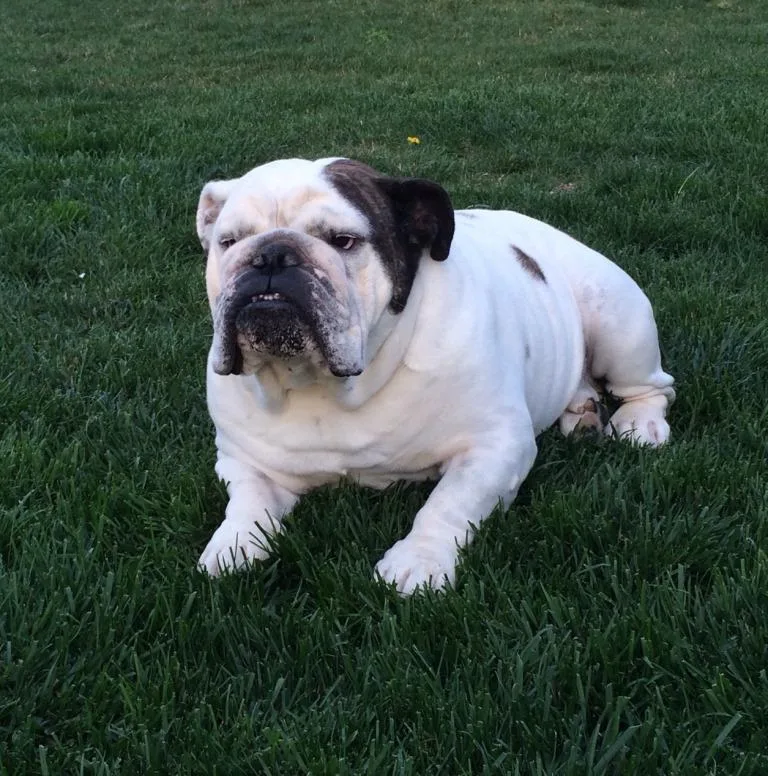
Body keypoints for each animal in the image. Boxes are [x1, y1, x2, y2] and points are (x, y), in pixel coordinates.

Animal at [195, 157, 675, 594]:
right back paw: (583, 410)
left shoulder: (494, 445)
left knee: (652, 387)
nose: (271, 255)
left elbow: (448, 502)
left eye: (343, 241)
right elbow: (248, 502)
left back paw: (640, 424)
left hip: (615, 317)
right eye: (229, 241)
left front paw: (417, 561)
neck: (334, 386)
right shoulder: (242, 459)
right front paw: (232, 546)